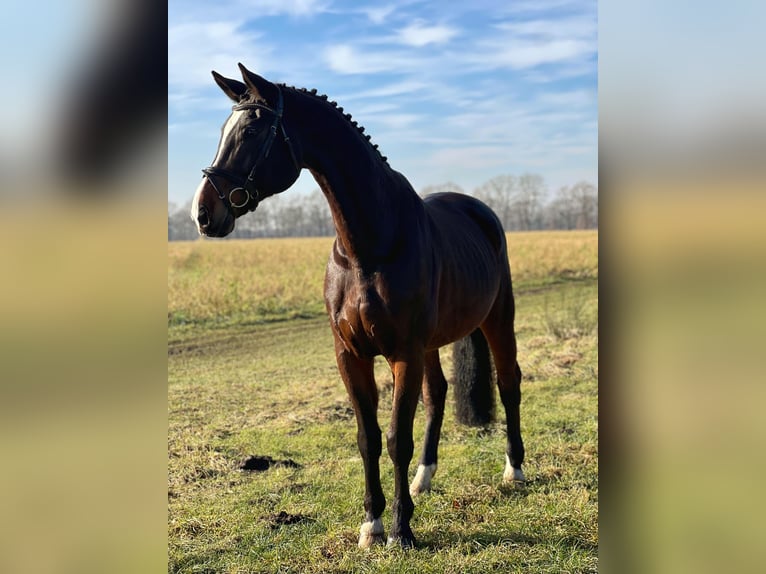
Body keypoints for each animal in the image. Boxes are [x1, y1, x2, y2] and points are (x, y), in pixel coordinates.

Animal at [192, 63, 528, 548]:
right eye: (224, 130)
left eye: (252, 130)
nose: (203, 214)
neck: (369, 247)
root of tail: (478, 210)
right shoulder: (351, 354)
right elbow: (368, 437)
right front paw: (372, 524)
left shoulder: (403, 353)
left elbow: (397, 439)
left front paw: (402, 532)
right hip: (432, 344)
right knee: (438, 394)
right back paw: (423, 480)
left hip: (498, 319)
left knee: (509, 383)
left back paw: (514, 470)